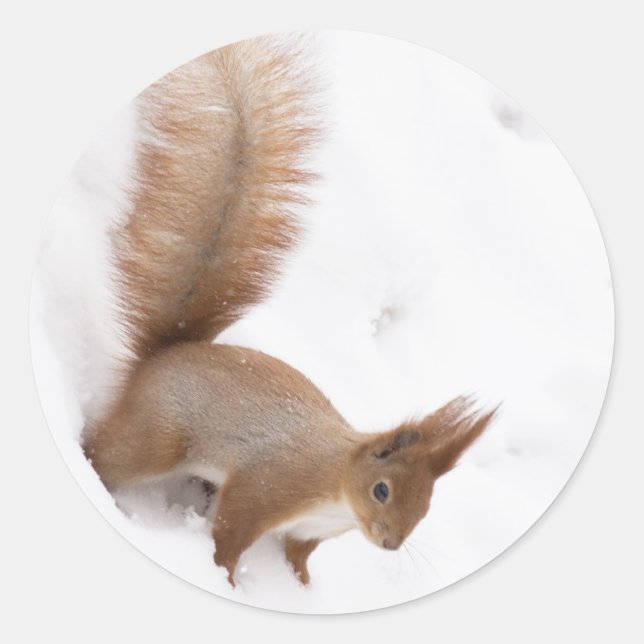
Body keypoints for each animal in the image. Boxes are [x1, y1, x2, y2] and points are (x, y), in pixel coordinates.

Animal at [82, 35, 497, 587]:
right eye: (382, 490)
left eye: (428, 506)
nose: (390, 545)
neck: (336, 489)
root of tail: (168, 353)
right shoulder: (267, 489)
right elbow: (230, 537)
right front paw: (227, 580)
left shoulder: (308, 533)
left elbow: (298, 557)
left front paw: (301, 589)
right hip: (159, 435)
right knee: (109, 453)